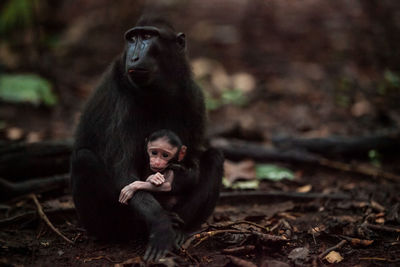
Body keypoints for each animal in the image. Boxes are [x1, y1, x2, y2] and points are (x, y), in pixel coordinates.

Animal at [70, 16, 223, 262]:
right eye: (132, 38)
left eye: (148, 36)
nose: (134, 56)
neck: (157, 92)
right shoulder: (122, 104)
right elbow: (123, 171)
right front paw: (160, 223)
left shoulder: (194, 97)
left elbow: (193, 161)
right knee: (83, 159)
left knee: (215, 157)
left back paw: (180, 230)